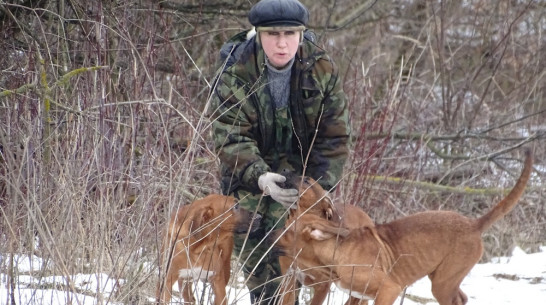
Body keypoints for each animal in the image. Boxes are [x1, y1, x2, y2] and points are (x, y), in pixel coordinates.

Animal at [276, 151, 532, 304]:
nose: (284, 170)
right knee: (462, 297)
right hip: (444, 279)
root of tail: (473, 224)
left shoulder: (388, 289)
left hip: (443, 282)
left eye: (307, 180)